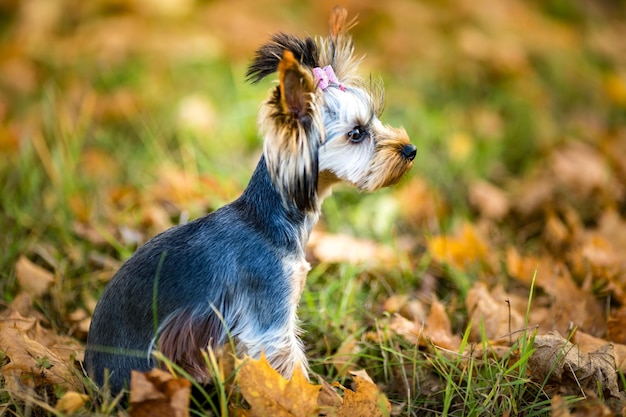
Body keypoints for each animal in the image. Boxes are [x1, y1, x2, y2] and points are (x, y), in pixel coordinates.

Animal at [83, 8, 414, 394]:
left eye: (376, 120)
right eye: (357, 133)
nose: (410, 150)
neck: (269, 220)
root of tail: (91, 375)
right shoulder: (270, 313)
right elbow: (290, 368)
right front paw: (314, 398)